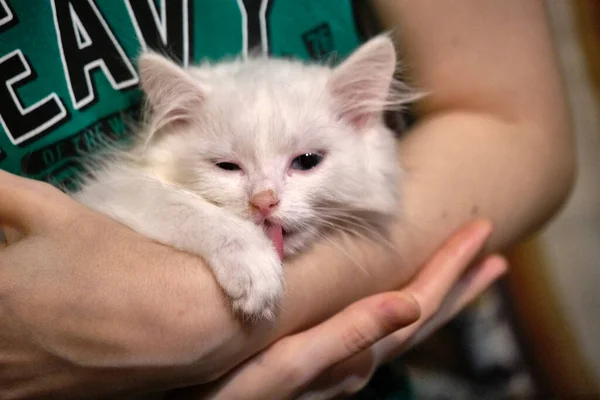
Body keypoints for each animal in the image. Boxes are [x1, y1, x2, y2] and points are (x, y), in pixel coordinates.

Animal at [71, 36, 412, 320]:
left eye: (306, 161)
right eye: (227, 166)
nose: (263, 202)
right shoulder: (108, 190)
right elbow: (183, 207)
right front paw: (253, 265)